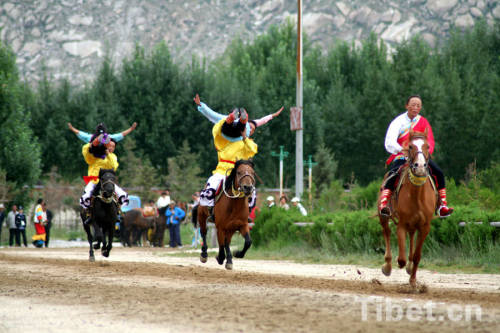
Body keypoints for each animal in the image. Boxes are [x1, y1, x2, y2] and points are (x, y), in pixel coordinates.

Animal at [378, 129, 438, 286]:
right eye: (410, 146)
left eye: (427, 146)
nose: (420, 166)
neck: (417, 196)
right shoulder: (402, 224)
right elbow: (401, 259)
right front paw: (397, 265)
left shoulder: (425, 226)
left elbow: (417, 256)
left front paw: (413, 281)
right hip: (383, 216)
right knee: (386, 231)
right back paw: (387, 265)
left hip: (414, 224)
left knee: (411, 236)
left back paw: (410, 266)